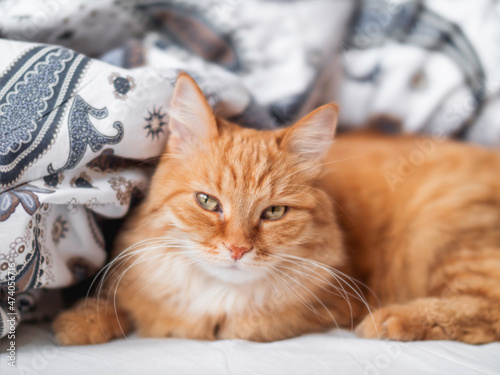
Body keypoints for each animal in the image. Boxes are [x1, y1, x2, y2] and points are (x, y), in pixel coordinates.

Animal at [52, 74, 500, 346]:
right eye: (208, 202)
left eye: (274, 213)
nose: (237, 250)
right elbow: (121, 305)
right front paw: (77, 323)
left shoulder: (331, 305)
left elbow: (247, 325)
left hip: (443, 232)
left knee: (485, 310)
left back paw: (394, 320)